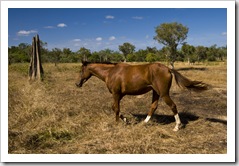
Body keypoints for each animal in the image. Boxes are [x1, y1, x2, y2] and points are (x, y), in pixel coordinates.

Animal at [75, 61, 207, 132]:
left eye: (81, 71)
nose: (77, 84)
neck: (111, 72)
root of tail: (168, 69)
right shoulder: (119, 95)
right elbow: (114, 108)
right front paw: (125, 120)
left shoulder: (116, 94)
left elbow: (116, 109)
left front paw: (117, 123)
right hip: (156, 92)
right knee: (153, 106)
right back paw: (144, 122)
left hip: (163, 93)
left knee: (173, 106)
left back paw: (176, 127)